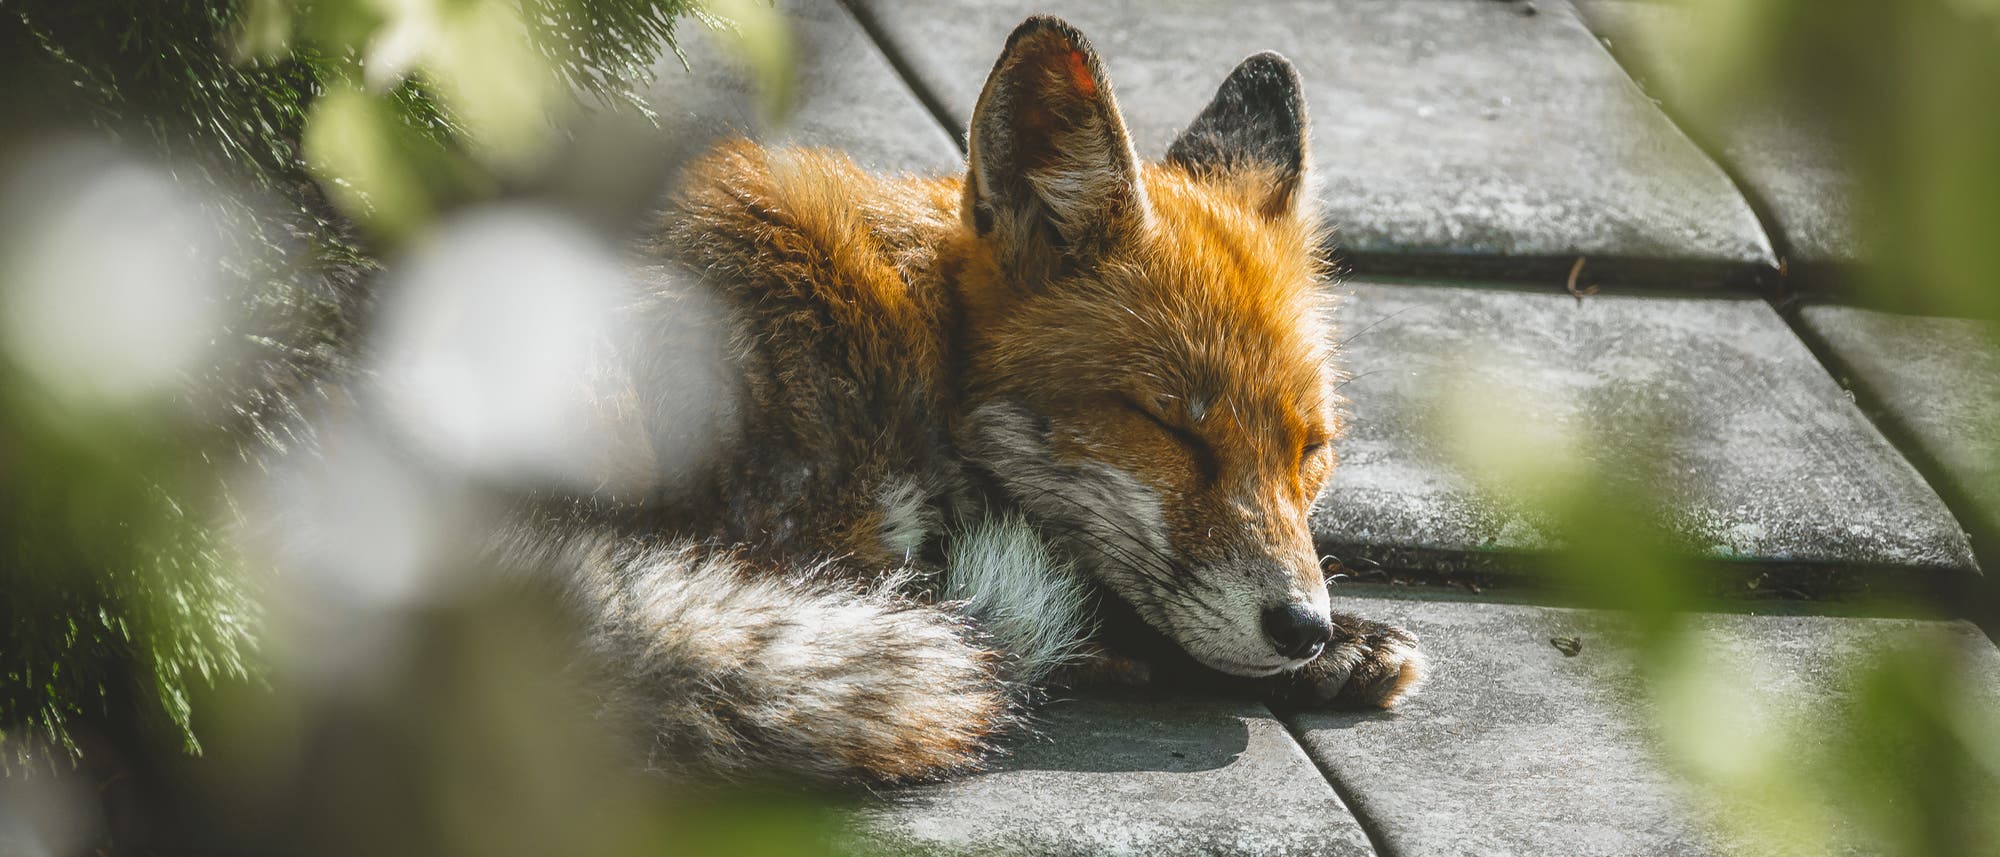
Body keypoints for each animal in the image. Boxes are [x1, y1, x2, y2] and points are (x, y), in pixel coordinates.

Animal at [527, 15, 1427, 784]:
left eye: (1312, 453)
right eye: (1171, 429)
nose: (1303, 627)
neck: (917, 324)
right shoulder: (816, 519)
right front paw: (1343, 646)